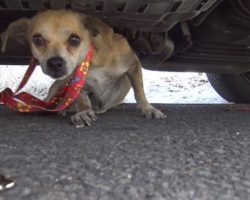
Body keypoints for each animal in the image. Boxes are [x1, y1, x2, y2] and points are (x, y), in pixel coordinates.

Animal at [1, 9, 167, 127]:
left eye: (74, 39)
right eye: (37, 39)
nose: (55, 63)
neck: (91, 59)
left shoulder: (133, 64)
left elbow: (139, 91)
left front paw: (148, 109)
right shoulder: (75, 82)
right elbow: (81, 97)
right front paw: (84, 112)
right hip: (58, 86)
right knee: (49, 102)